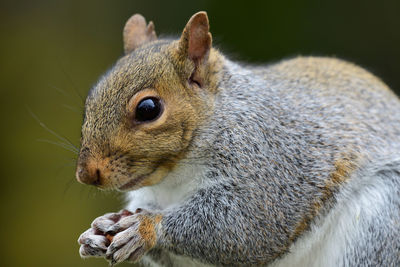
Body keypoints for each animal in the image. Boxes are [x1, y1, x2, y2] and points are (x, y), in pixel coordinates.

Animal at [76, 11, 400, 267]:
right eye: (90, 100)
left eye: (148, 109)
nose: (86, 174)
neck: (174, 180)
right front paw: (102, 228)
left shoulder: (270, 161)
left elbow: (245, 225)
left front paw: (145, 227)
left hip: (381, 223)